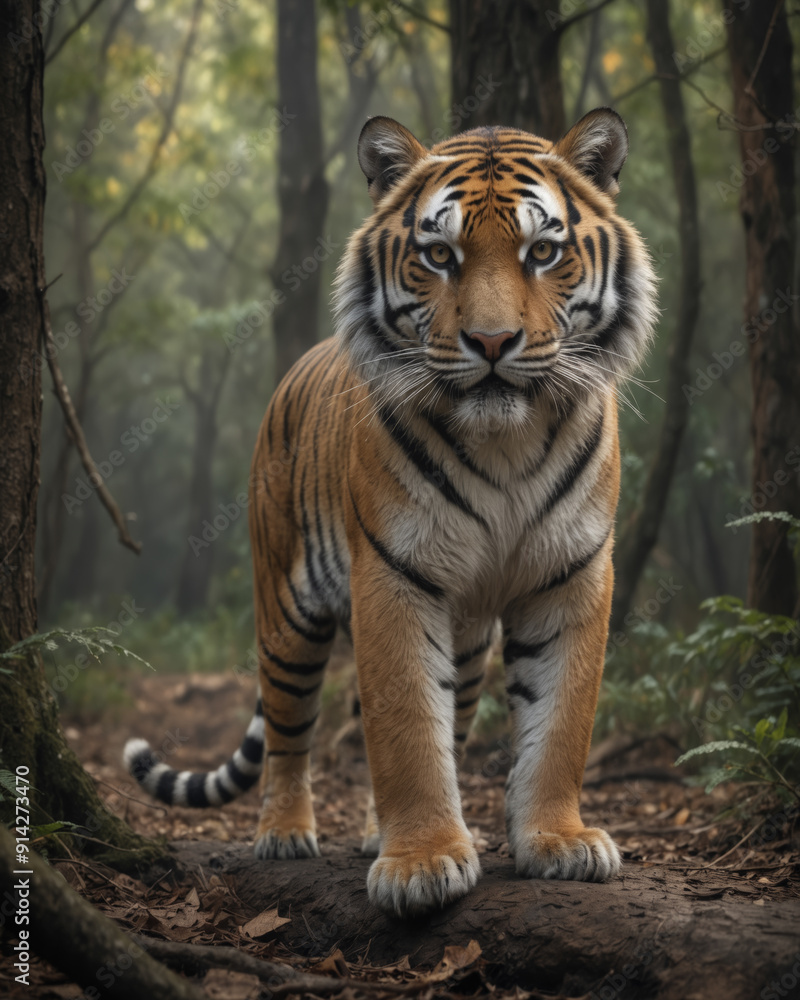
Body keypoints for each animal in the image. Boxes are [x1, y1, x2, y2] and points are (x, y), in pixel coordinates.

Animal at [124, 108, 657, 917]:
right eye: (439, 254)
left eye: (542, 251)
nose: (492, 342)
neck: (505, 441)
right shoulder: (394, 575)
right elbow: (405, 725)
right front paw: (422, 863)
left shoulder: (571, 577)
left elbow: (559, 722)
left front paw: (558, 841)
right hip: (287, 611)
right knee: (289, 732)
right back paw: (285, 832)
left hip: (464, 644)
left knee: (443, 716)